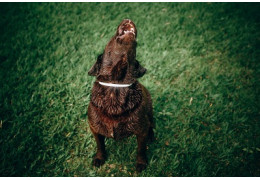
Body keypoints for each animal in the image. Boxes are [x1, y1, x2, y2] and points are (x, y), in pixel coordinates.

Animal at [87, 19, 153, 172]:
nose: (127, 19)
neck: (116, 84)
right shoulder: (94, 128)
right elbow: (100, 145)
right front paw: (99, 158)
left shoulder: (142, 129)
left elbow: (141, 149)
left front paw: (141, 163)